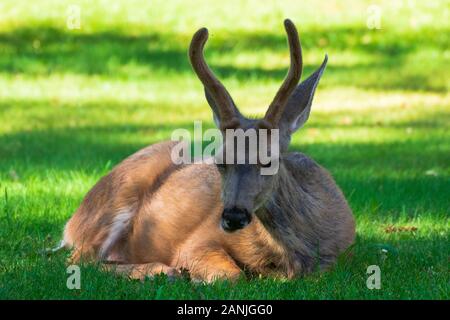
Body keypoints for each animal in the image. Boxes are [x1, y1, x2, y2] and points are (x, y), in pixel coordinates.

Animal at [59, 19, 356, 282]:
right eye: (219, 161)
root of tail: (71, 224)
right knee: (79, 260)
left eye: (269, 160)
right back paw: (161, 271)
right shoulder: (196, 240)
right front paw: (188, 274)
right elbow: (230, 276)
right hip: (114, 199)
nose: (233, 216)